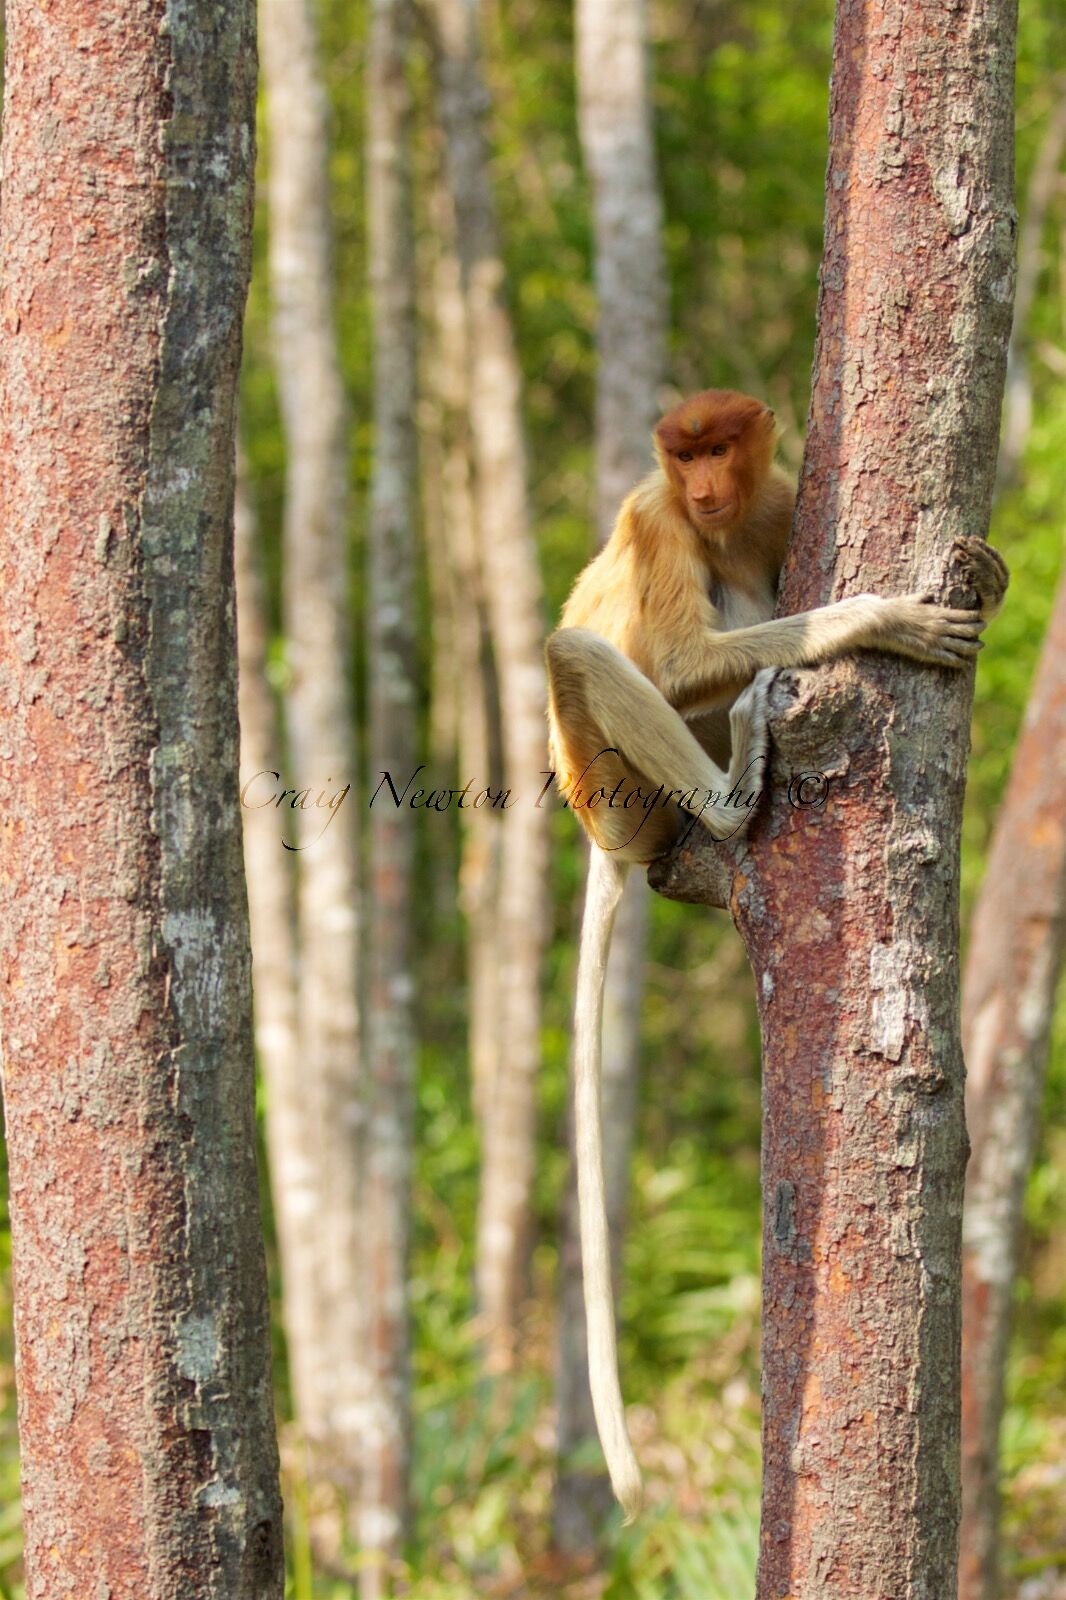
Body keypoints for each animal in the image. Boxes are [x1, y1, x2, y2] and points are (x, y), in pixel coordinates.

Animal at [545, 388, 1009, 1522]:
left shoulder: (780, 495)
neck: (712, 516)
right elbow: (670, 658)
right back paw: (731, 796)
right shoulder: (657, 523)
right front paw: (884, 618)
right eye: (684, 459)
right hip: (612, 789)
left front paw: (988, 576)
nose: (706, 485)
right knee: (580, 651)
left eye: (721, 449)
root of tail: (599, 835)